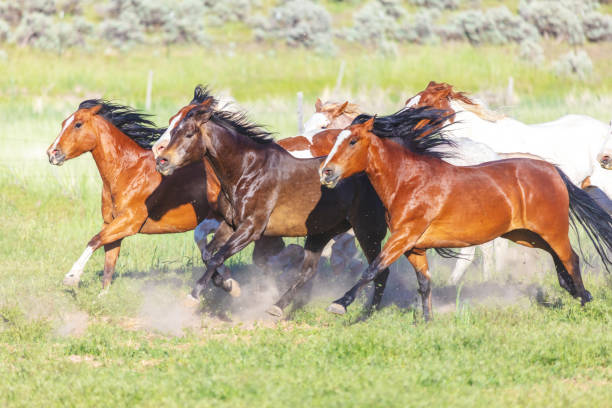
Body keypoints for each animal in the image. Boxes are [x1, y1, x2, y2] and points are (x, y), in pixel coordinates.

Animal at [44, 99, 239, 294]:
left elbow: (95, 240)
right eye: (63, 123)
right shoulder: (111, 223)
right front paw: (102, 296)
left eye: (78, 124)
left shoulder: (129, 221)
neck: (127, 171)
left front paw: (71, 277)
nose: (52, 153)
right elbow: (109, 264)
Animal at [154, 91, 392, 318]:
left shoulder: (251, 229)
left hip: (367, 231)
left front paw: (194, 296)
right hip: (322, 232)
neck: (248, 170)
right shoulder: (230, 225)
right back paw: (279, 306)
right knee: (310, 270)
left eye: (188, 133)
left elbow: (217, 257)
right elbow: (208, 255)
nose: (161, 159)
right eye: (172, 125)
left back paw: (364, 309)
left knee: (378, 268)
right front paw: (230, 286)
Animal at [320, 107, 612, 320]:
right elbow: (424, 283)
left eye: (353, 141)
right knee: (558, 258)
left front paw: (340, 304)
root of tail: (552, 171)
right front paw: (425, 321)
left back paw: (583, 300)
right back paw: (573, 290)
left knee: (571, 258)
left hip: (551, 229)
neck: (409, 182)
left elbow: (373, 268)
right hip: (525, 235)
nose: (326, 172)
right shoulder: (415, 247)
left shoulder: (403, 237)